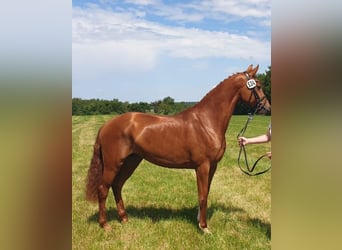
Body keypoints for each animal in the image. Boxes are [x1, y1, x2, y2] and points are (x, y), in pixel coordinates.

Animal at [85, 64, 270, 232]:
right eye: (258, 86)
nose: (267, 108)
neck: (207, 121)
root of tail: (106, 125)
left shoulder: (212, 166)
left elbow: (206, 193)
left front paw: (199, 221)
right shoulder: (202, 166)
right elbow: (202, 196)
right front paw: (204, 227)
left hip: (131, 161)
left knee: (117, 185)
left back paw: (124, 218)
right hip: (113, 164)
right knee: (103, 189)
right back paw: (105, 224)